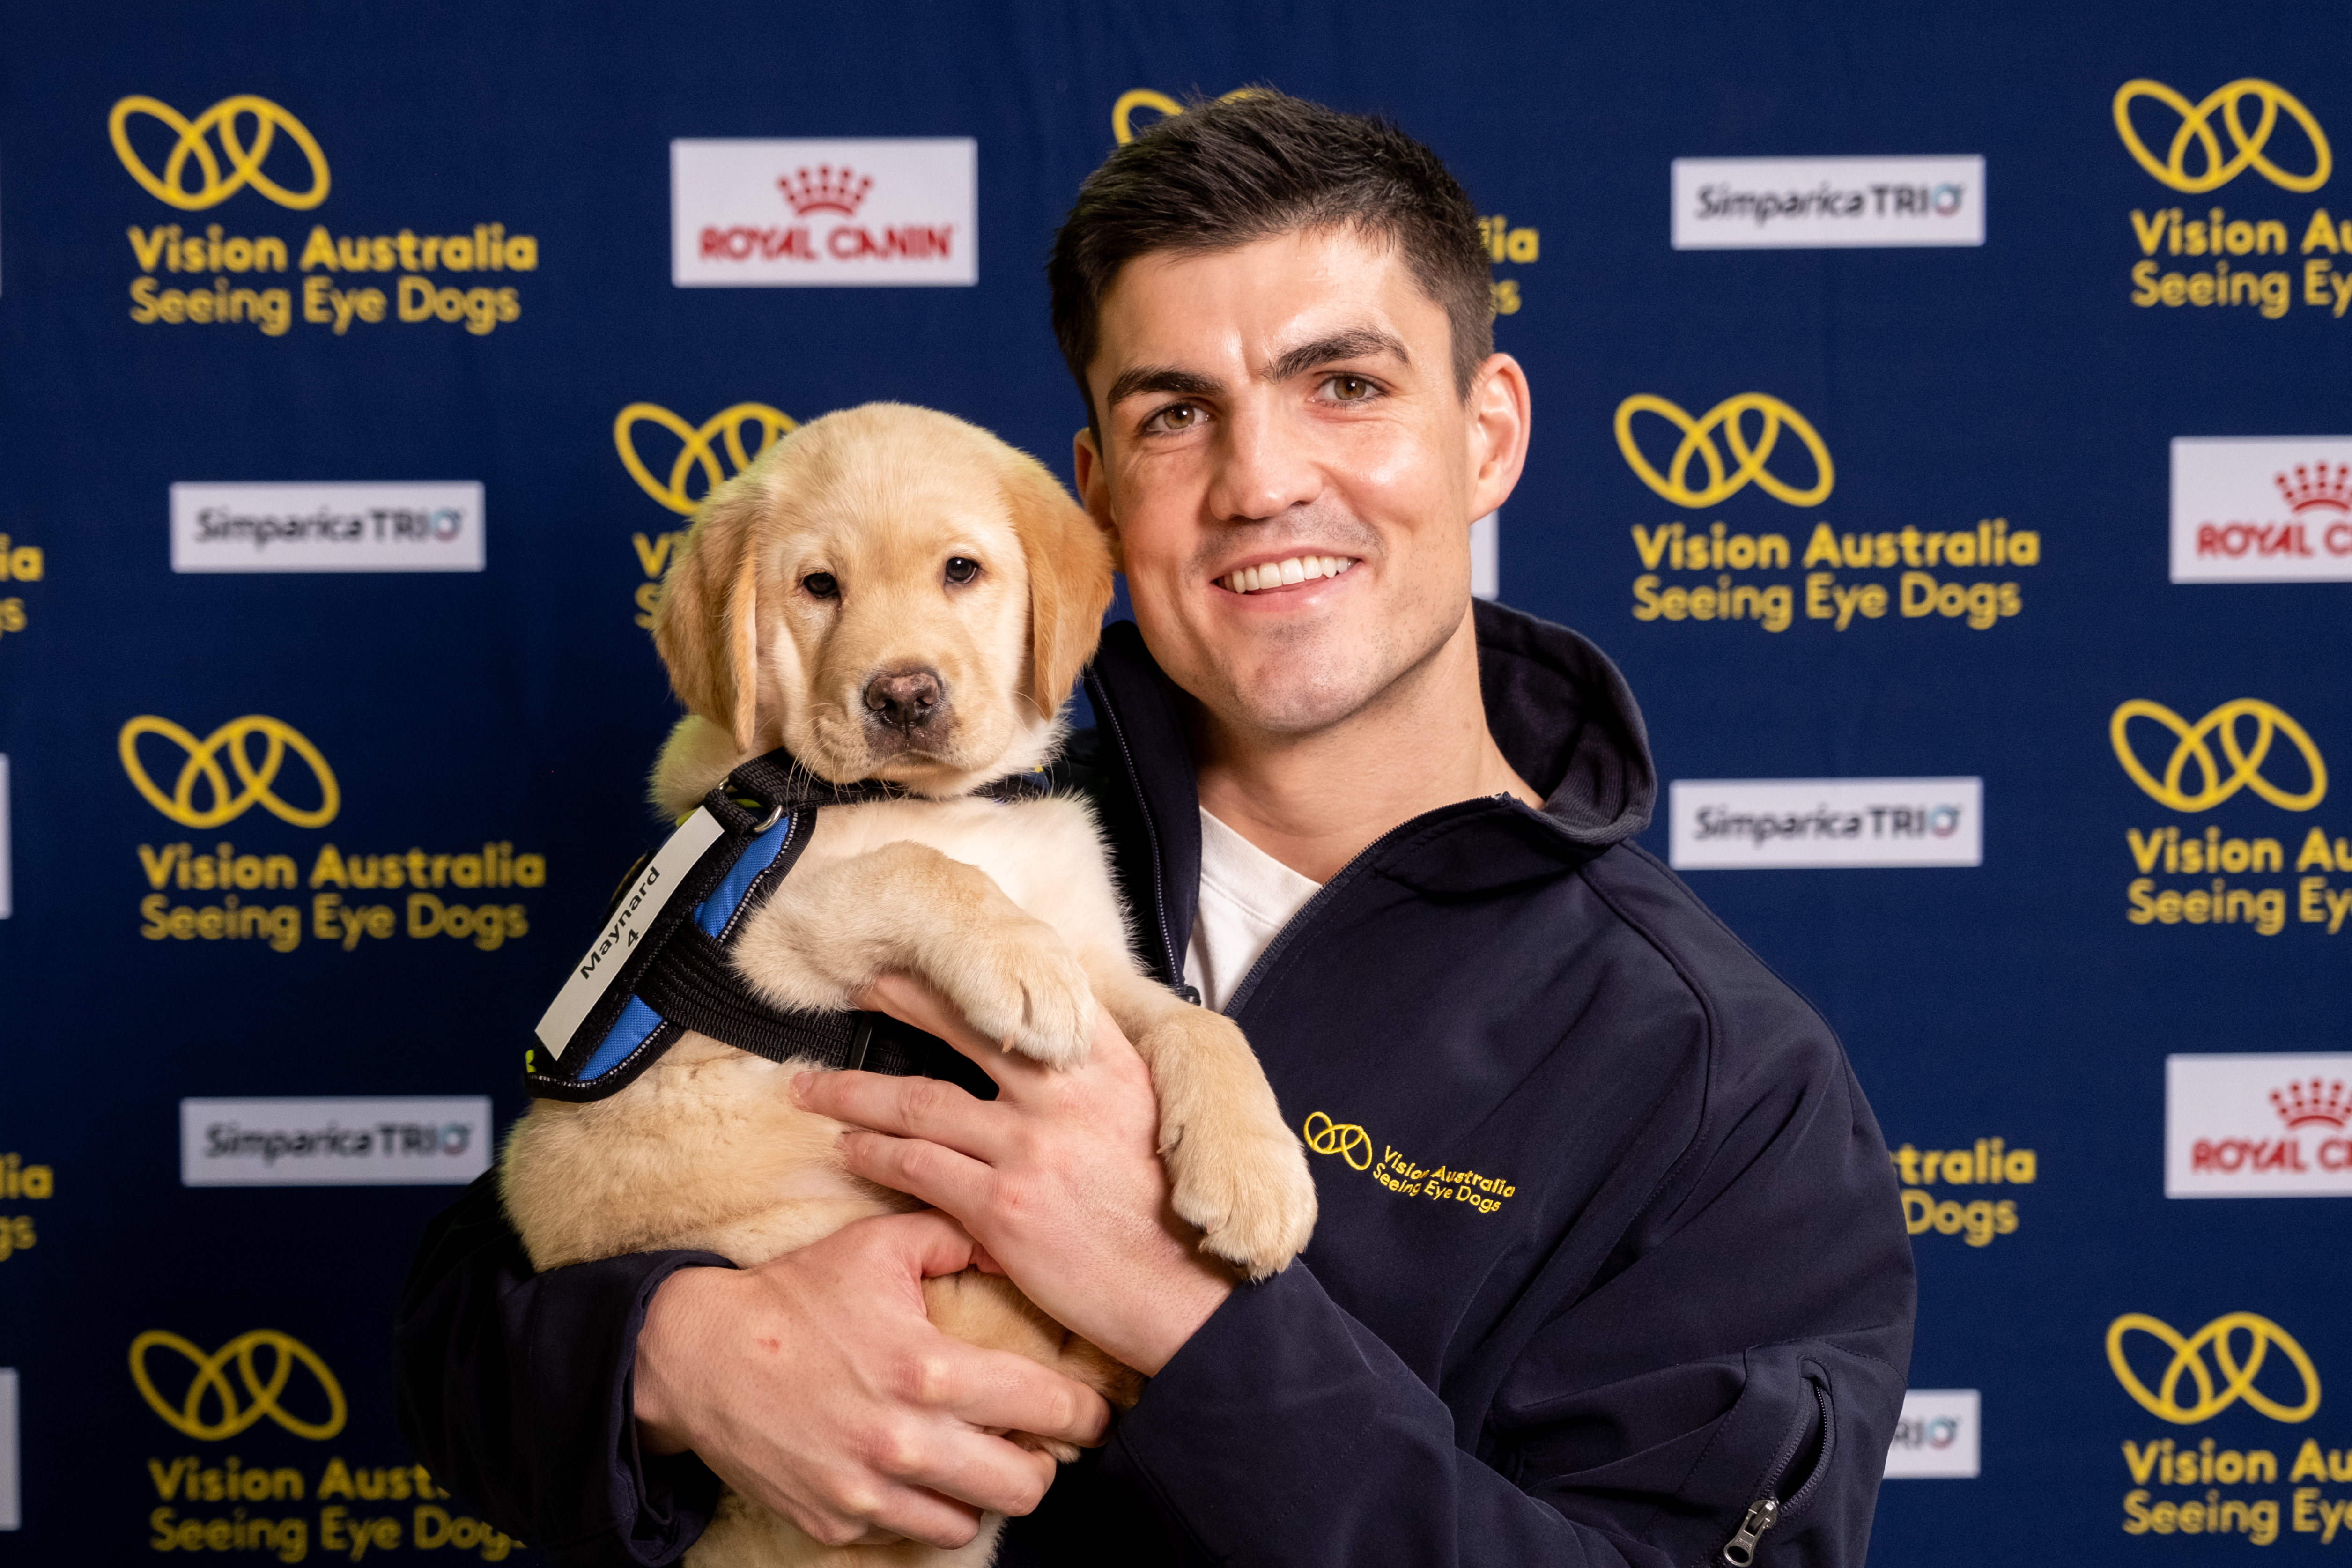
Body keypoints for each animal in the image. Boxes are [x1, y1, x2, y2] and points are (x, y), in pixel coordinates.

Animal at [503, 402, 1317, 1568]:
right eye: (818, 586)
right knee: (1014, 1353)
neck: (944, 800)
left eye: (961, 571)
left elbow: (1202, 1028)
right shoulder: (761, 931)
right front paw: (1015, 964)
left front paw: (1259, 1177)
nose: (903, 694)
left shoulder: (1105, 955)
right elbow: (914, 868)